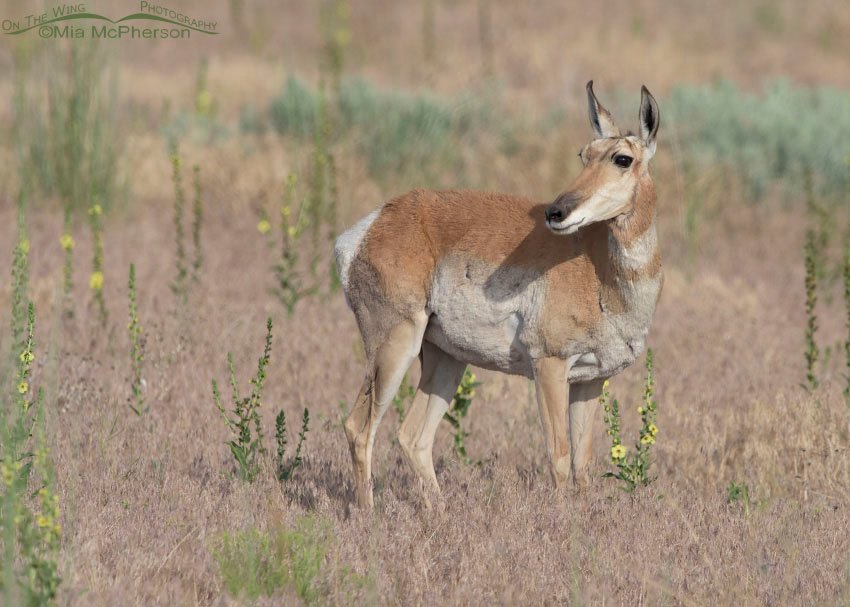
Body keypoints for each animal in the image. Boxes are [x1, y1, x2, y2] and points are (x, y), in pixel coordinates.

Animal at [334, 82, 662, 508]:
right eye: (583, 154)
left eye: (622, 158)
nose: (556, 213)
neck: (600, 268)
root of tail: (372, 225)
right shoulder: (549, 366)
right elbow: (559, 457)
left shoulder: (591, 380)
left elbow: (583, 464)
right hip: (395, 347)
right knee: (359, 428)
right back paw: (369, 515)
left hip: (446, 360)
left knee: (413, 437)